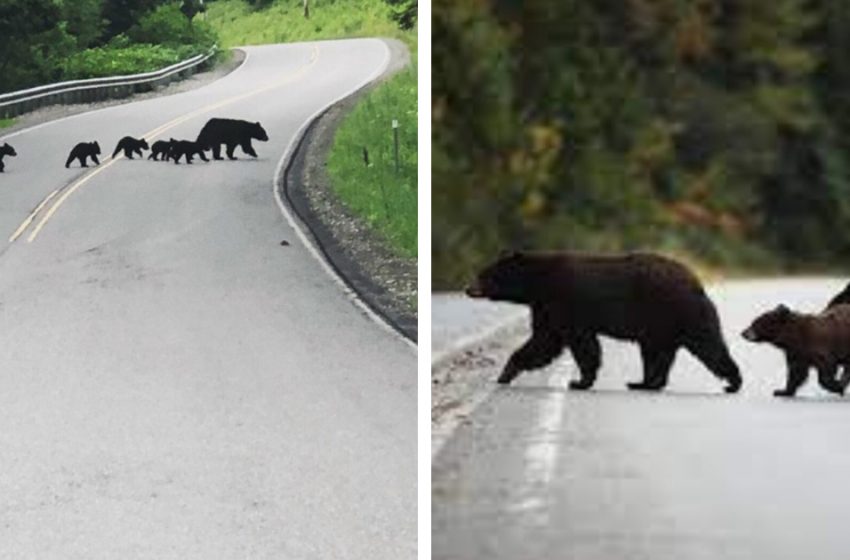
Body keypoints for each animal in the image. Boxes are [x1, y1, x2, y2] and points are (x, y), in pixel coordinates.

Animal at [468, 252, 740, 392]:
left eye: (483, 275)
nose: (468, 288)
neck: (537, 282)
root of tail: (696, 281)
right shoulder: (546, 307)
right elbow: (545, 340)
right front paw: (507, 372)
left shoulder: (563, 302)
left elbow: (575, 343)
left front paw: (579, 381)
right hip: (659, 327)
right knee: (656, 355)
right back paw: (644, 383)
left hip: (678, 313)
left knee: (708, 345)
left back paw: (733, 382)